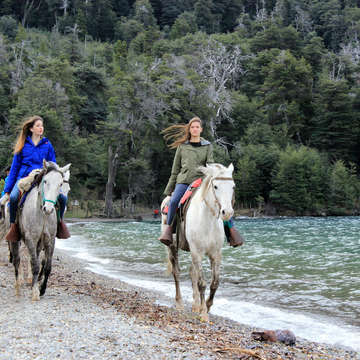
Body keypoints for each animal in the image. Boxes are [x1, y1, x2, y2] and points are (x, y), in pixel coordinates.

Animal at [5, 162, 70, 300]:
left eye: (60, 184)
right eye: (45, 181)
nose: (49, 208)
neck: (42, 214)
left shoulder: (49, 239)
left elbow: (47, 266)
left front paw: (42, 289)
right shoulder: (31, 238)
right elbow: (35, 265)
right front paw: (35, 292)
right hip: (15, 239)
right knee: (17, 260)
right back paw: (18, 285)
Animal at [163, 163, 236, 320]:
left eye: (233, 186)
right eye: (215, 186)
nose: (227, 212)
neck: (208, 220)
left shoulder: (215, 254)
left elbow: (214, 282)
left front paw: (206, 306)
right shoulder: (197, 252)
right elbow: (202, 283)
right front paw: (203, 313)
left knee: (192, 273)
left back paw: (195, 305)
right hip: (172, 247)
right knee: (177, 273)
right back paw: (180, 303)